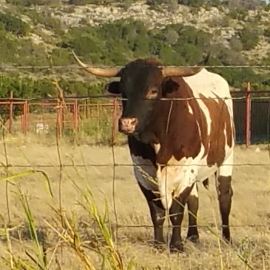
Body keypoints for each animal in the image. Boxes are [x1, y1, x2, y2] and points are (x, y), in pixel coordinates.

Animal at [73, 51, 235, 252]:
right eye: (124, 92)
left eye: (153, 91)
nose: (127, 123)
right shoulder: (143, 172)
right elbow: (157, 212)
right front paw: (158, 244)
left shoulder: (185, 170)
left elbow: (176, 210)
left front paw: (176, 245)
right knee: (194, 201)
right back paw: (193, 236)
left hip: (226, 160)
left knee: (224, 197)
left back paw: (226, 238)